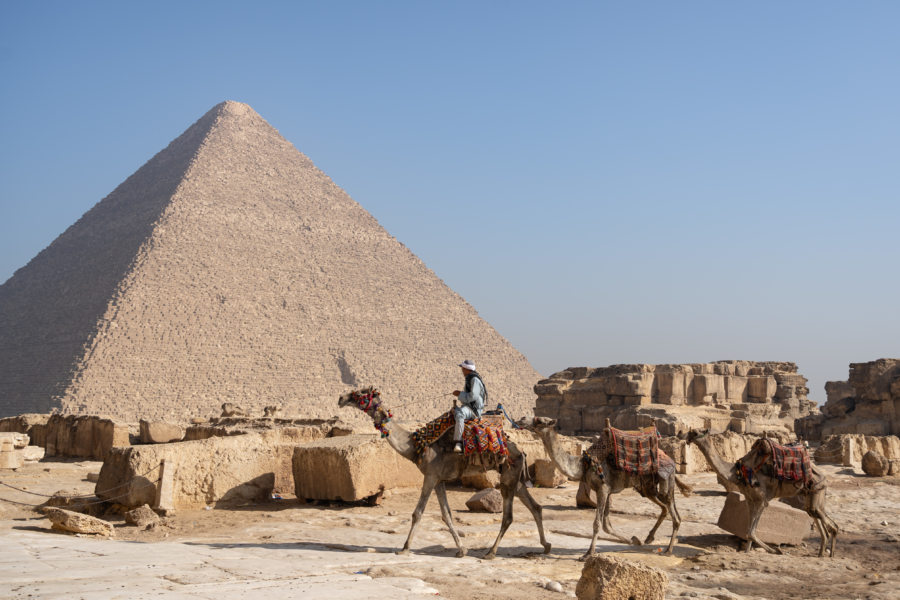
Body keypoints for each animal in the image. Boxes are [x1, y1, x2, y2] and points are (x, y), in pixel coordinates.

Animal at [336, 386, 548, 560]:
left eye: (363, 392)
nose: (341, 398)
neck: (416, 445)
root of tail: (521, 450)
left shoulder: (430, 476)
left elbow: (418, 513)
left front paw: (404, 548)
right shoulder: (439, 480)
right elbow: (446, 514)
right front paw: (462, 550)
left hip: (508, 477)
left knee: (509, 516)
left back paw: (491, 552)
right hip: (515, 478)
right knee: (535, 506)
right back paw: (546, 546)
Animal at [528, 418, 688, 556]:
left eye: (540, 420)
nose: (524, 420)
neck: (583, 464)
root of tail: (671, 461)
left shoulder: (603, 489)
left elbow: (598, 523)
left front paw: (588, 553)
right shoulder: (608, 491)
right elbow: (607, 525)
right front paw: (634, 540)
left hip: (665, 482)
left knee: (675, 515)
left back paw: (668, 550)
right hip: (647, 488)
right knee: (665, 508)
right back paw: (649, 538)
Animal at [688, 428, 836, 556]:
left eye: (696, 432)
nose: (688, 436)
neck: (736, 472)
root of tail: (823, 476)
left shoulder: (761, 499)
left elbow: (751, 532)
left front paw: (776, 550)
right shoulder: (750, 499)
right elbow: (748, 531)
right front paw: (747, 551)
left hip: (817, 490)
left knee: (829, 523)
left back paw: (830, 553)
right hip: (810, 494)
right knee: (815, 514)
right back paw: (822, 553)